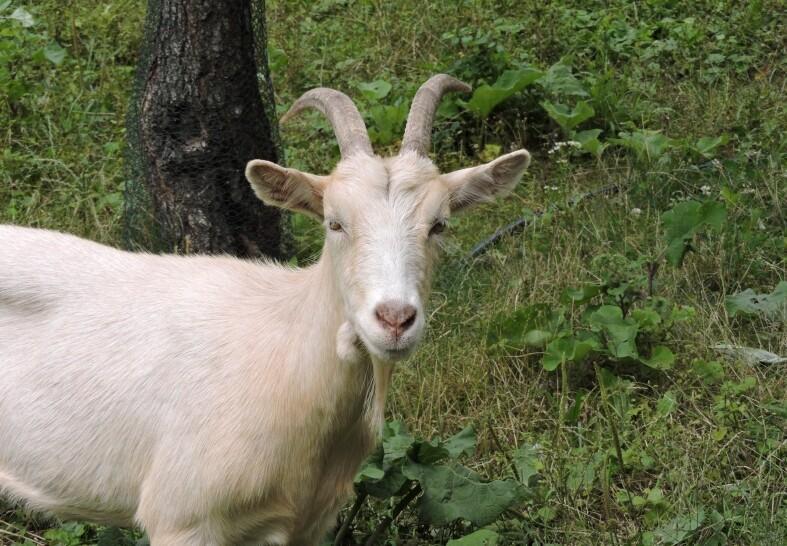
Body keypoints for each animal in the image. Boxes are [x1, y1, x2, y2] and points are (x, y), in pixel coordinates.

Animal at [0, 75, 531, 545]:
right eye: (334, 223)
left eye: (439, 224)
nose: (395, 319)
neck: (283, 347)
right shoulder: (182, 518)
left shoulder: (308, 525)